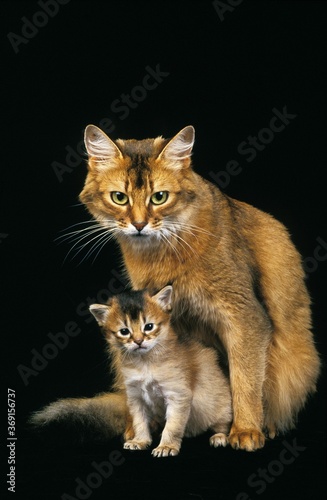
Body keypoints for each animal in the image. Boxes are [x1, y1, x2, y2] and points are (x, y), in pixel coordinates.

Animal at [89, 286, 233, 458]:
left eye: (149, 327)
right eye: (124, 331)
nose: (138, 341)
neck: (145, 363)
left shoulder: (177, 395)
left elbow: (172, 426)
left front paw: (166, 446)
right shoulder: (136, 398)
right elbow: (139, 422)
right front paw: (140, 441)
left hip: (220, 407)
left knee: (223, 423)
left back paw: (219, 437)